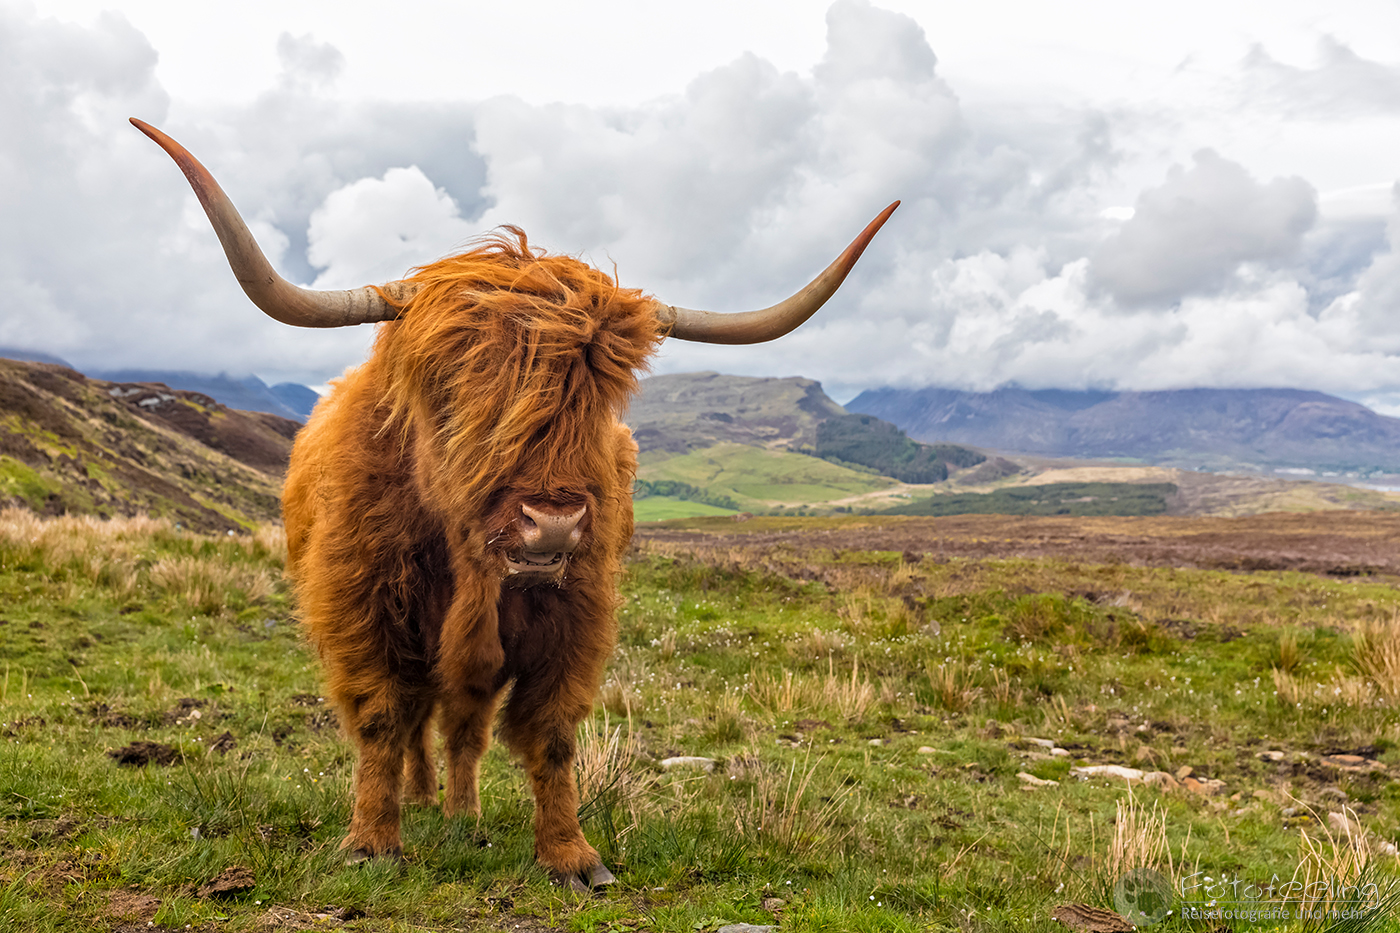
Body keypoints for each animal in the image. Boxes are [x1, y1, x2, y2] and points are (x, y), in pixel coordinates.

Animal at [131, 117, 897, 890]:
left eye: (599, 395)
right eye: (455, 389)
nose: (552, 524)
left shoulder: (572, 617)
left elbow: (549, 733)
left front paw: (571, 855)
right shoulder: (363, 608)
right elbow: (382, 718)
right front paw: (373, 841)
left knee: (461, 725)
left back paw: (460, 812)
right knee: (418, 721)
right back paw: (420, 798)